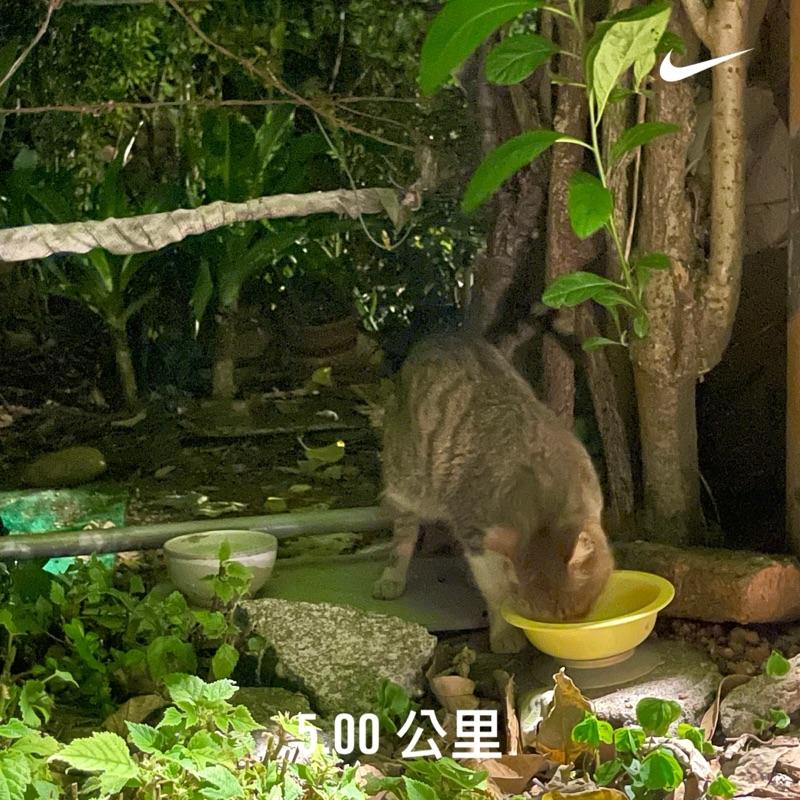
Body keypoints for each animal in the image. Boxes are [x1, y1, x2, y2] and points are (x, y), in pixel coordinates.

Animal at [373, 329, 613, 653]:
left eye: (575, 613)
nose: (565, 640)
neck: (541, 497)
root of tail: (444, 335)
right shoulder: (475, 536)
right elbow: (497, 593)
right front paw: (504, 634)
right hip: (407, 483)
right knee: (403, 533)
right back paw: (392, 577)